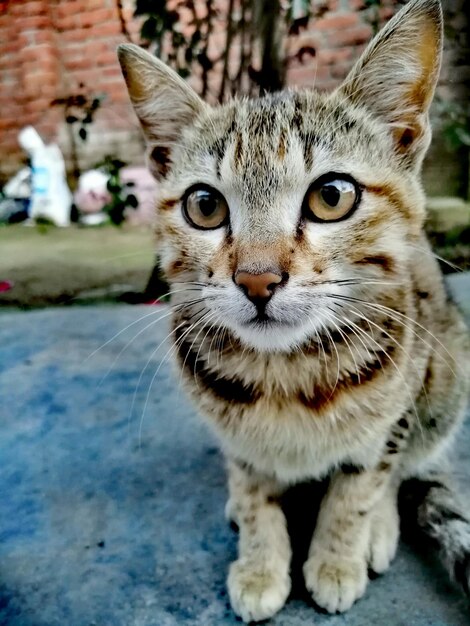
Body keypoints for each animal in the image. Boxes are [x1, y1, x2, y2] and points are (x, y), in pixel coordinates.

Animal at [117, 1, 470, 620]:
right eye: (204, 206)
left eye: (332, 196)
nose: (257, 279)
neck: (286, 373)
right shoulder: (236, 436)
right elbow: (255, 486)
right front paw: (261, 561)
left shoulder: (399, 402)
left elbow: (361, 483)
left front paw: (337, 556)